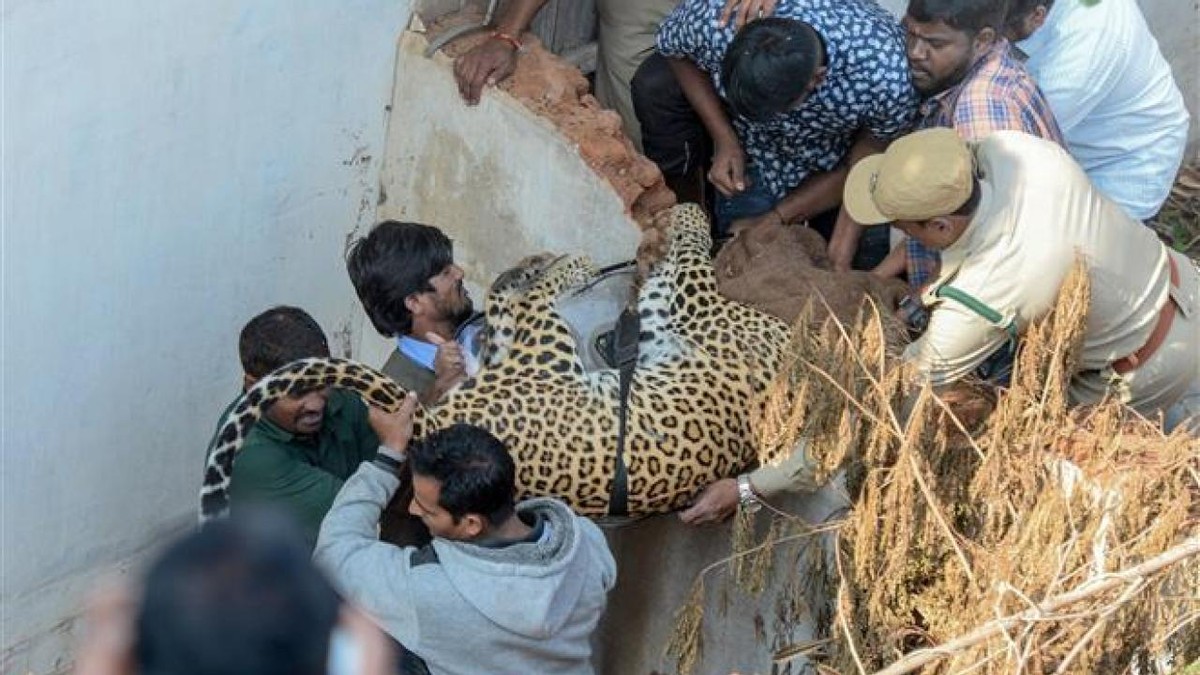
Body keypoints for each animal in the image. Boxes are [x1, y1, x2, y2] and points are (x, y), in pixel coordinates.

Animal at [200, 204, 792, 521]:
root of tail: (438, 419)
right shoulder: (680, 311)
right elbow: (686, 250)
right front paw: (677, 221)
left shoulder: (696, 308)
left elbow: (690, 252)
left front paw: (681, 221)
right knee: (514, 302)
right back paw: (543, 266)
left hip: (543, 351)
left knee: (518, 304)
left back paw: (551, 267)